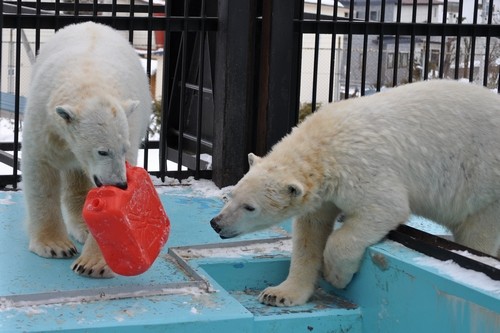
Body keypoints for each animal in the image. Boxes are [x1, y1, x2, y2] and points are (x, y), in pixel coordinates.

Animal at [22, 22, 150, 278]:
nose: (119, 183)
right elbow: (41, 170)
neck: (89, 81)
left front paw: (93, 264)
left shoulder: (129, 127)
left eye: (123, 149)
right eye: (102, 151)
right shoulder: (46, 124)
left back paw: (83, 228)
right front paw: (54, 246)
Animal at [210, 80, 500, 306]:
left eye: (250, 207)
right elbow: (309, 233)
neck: (324, 146)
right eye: (231, 195)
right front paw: (280, 293)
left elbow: (384, 208)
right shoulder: (322, 193)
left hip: (483, 183)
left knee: (477, 231)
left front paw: (336, 275)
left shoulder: (363, 166)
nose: (217, 224)